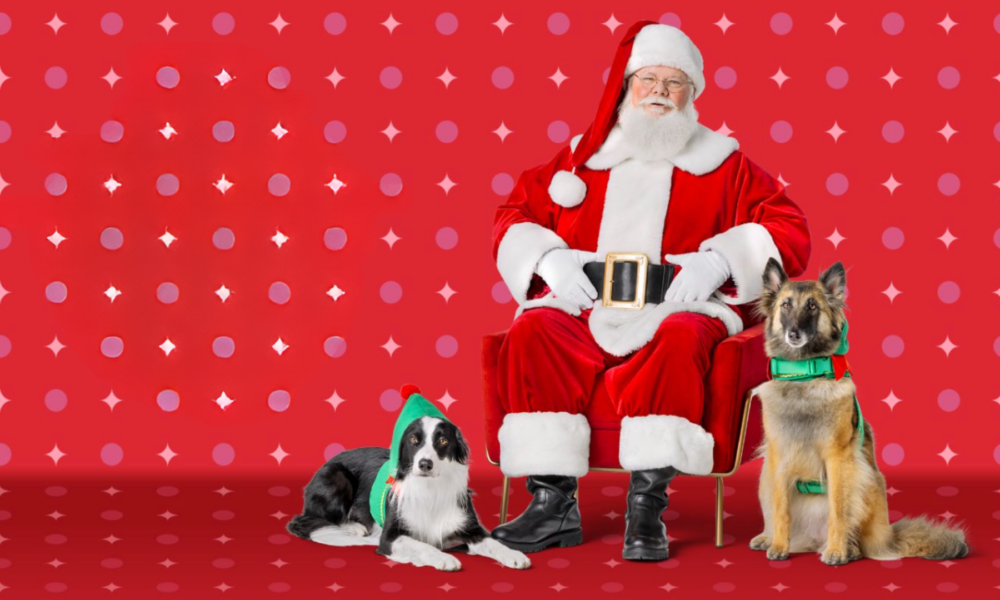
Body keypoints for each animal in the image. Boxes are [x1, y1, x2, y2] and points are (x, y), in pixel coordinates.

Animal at [752, 260, 968, 564]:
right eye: (786, 305)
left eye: (812, 306)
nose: (793, 334)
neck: (804, 376)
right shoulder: (778, 457)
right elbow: (781, 509)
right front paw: (779, 546)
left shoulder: (838, 458)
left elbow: (838, 509)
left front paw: (836, 551)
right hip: (765, 480)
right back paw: (768, 538)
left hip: (867, 477)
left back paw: (849, 549)